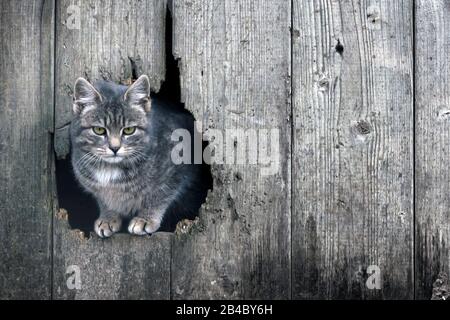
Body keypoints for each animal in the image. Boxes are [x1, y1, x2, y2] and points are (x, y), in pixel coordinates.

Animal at [69, 74, 208, 236]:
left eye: (129, 130)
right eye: (99, 130)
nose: (114, 148)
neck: (110, 168)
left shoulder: (178, 170)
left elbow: (158, 196)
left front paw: (145, 219)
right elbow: (105, 201)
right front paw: (108, 217)